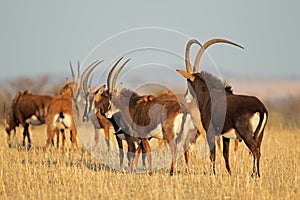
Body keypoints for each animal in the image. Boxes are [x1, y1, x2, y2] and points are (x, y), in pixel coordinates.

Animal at [176, 38, 268, 177]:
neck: (209, 96)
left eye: (188, 82)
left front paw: (213, 173)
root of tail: (260, 108)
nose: (186, 97)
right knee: (258, 151)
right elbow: (225, 154)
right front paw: (229, 173)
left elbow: (213, 154)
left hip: (246, 134)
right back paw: (255, 174)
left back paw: (256, 175)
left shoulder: (210, 131)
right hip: (259, 135)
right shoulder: (225, 135)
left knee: (255, 151)